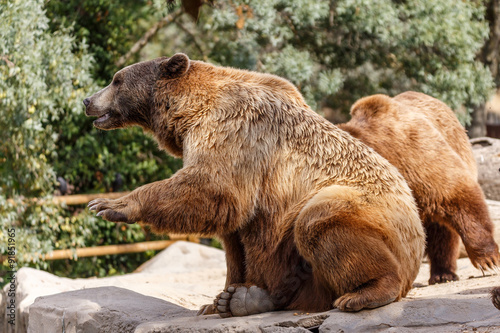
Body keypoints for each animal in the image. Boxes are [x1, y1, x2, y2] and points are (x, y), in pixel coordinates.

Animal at [84, 54, 424, 316]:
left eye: (116, 80)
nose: (88, 100)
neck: (187, 114)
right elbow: (234, 240)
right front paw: (218, 300)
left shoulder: (235, 134)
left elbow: (209, 186)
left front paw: (110, 204)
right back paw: (250, 300)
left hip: (367, 206)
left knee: (319, 222)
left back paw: (364, 293)